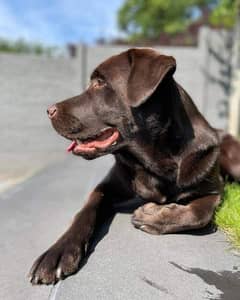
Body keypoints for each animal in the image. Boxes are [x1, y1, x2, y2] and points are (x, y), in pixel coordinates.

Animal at [29, 48, 240, 284]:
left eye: (100, 83)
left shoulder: (214, 189)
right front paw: (59, 250)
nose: (49, 110)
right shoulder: (107, 186)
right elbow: (86, 209)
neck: (155, 161)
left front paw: (153, 216)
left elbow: (199, 213)